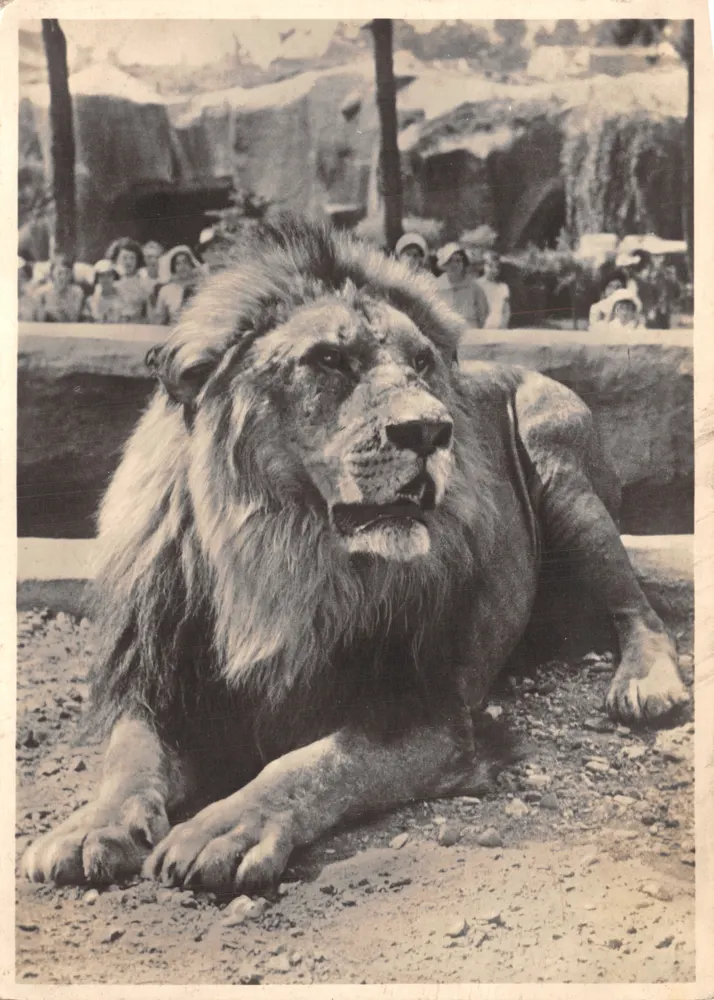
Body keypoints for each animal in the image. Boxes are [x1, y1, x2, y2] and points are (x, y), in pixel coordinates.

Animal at [22, 216, 689, 894]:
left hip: (558, 461)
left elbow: (311, 765)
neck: (280, 560)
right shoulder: (159, 683)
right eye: (329, 360)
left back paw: (646, 684)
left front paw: (221, 830)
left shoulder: (427, 714)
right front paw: (90, 828)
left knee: (641, 609)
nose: (431, 431)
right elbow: (129, 756)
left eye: (421, 363)